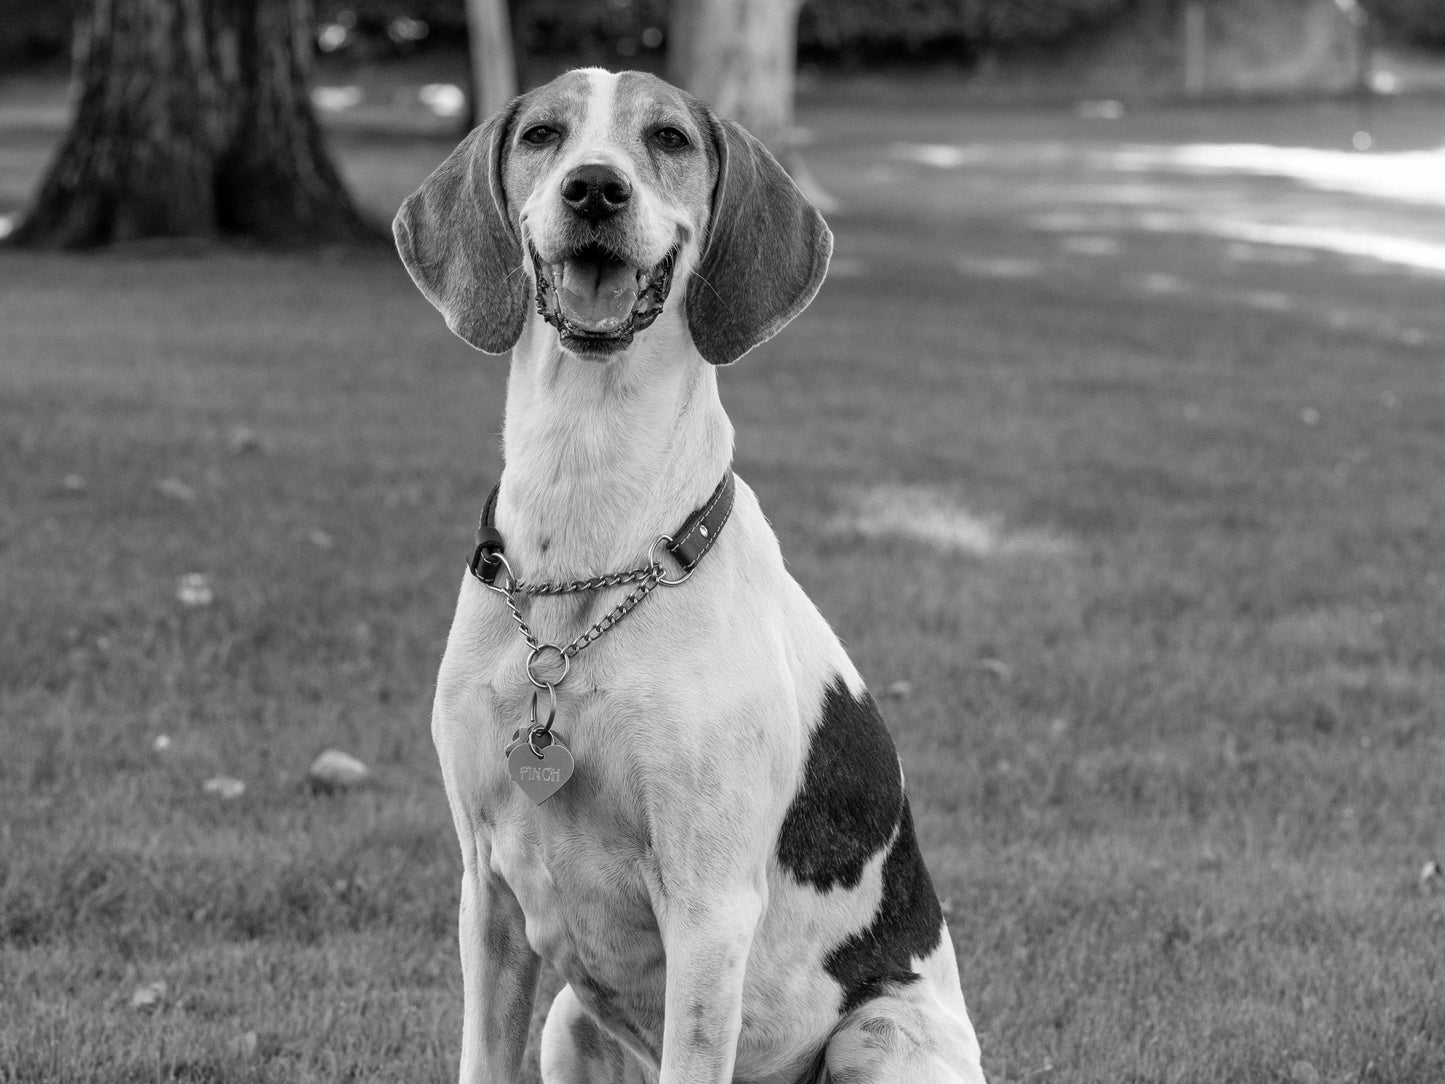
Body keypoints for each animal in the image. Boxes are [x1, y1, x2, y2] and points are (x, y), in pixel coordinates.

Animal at [390, 70, 988, 1084]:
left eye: (667, 137)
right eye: (542, 134)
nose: (594, 189)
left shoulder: (709, 913)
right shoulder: (487, 895)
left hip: (878, 1034)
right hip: (568, 1024)